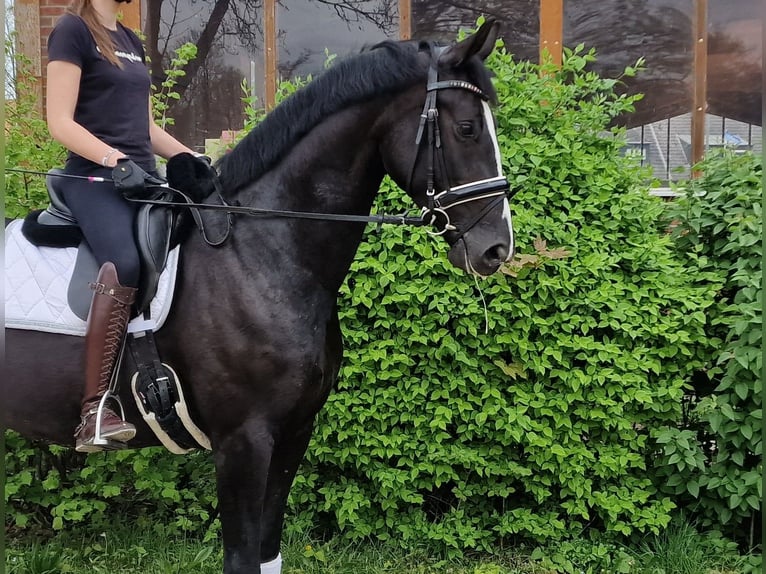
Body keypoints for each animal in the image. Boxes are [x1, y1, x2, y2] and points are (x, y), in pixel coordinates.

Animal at [4, 19, 516, 574]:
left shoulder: (292, 433)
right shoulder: (243, 442)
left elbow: (269, 554)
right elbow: (243, 556)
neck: (262, 252)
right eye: (467, 128)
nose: (496, 248)